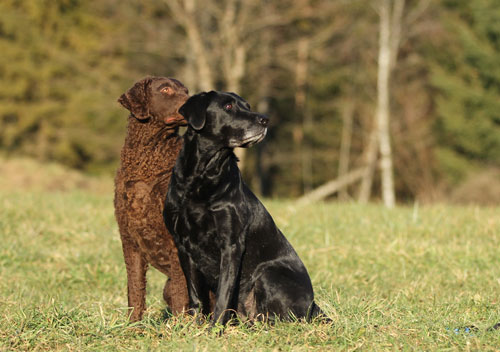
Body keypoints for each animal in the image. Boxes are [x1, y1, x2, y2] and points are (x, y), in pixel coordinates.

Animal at [113, 76, 189, 322]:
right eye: (165, 89)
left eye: (186, 91)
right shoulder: (128, 237)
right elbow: (135, 288)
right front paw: (132, 326)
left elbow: (181, 290)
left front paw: (181, 326)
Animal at [162, 91, 322, 324]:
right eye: (228, 106)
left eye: (248, 106)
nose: (265, 119)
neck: (202, 175)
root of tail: (313, 306)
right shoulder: (183, 245)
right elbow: (195, 295)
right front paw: (195, 325)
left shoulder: (231, 244)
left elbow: (223, 295)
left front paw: (214, 328)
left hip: (269, 273)